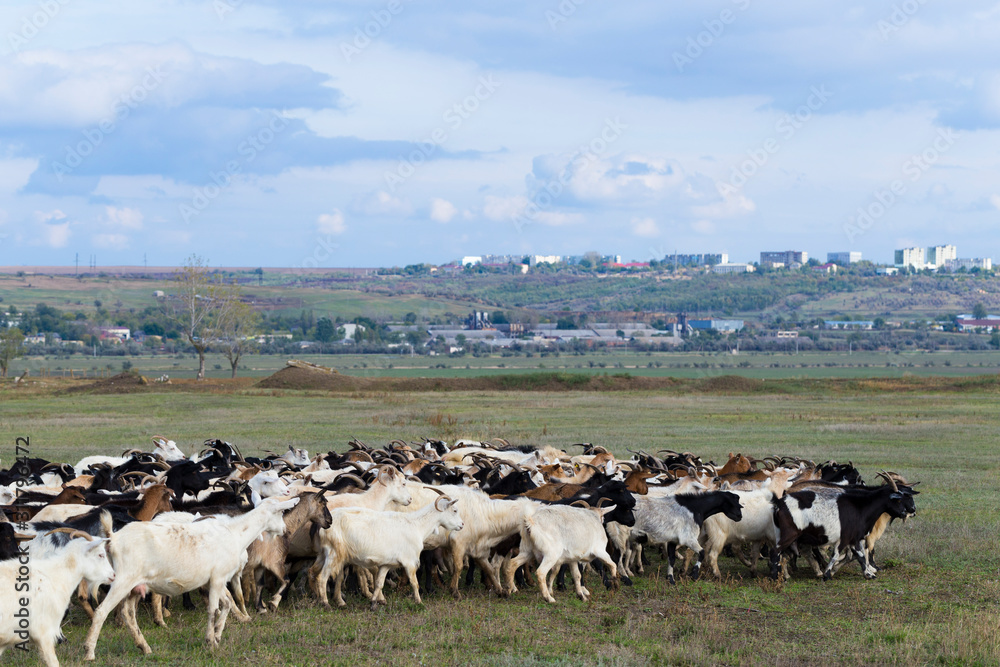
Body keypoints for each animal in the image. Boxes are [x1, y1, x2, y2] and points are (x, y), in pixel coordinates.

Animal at [82, 496, 299, 660]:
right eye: (280, 513)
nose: (286, 531)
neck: (235, 533)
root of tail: (113, 538)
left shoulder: (214, 580)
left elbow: (228, 604)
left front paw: (217, 635)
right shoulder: (218, 577)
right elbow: (213, 609)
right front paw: (210, 642)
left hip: (136, 585)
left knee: (128, 613)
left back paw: (144, 647)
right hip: (122, 580)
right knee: (102, 611)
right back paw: (89, 652)